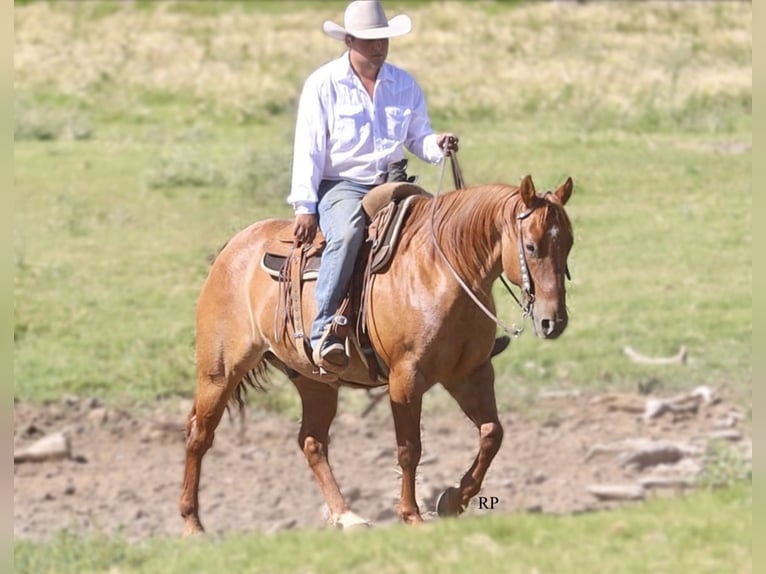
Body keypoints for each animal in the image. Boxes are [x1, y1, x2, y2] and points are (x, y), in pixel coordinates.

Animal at [179, 174, 574, 534]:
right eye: (531, 246)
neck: (441, 269)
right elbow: (409, 447)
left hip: (314, 380)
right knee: (200, 434)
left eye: (568, 243)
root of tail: (233, 246)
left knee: (312, 442)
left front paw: (452, 500)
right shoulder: (406, 378)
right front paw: (411, 514)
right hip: (219, 371)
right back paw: (193, 523)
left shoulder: (470, 373)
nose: (553, 321)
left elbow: (493, 433)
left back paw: (347, 516)